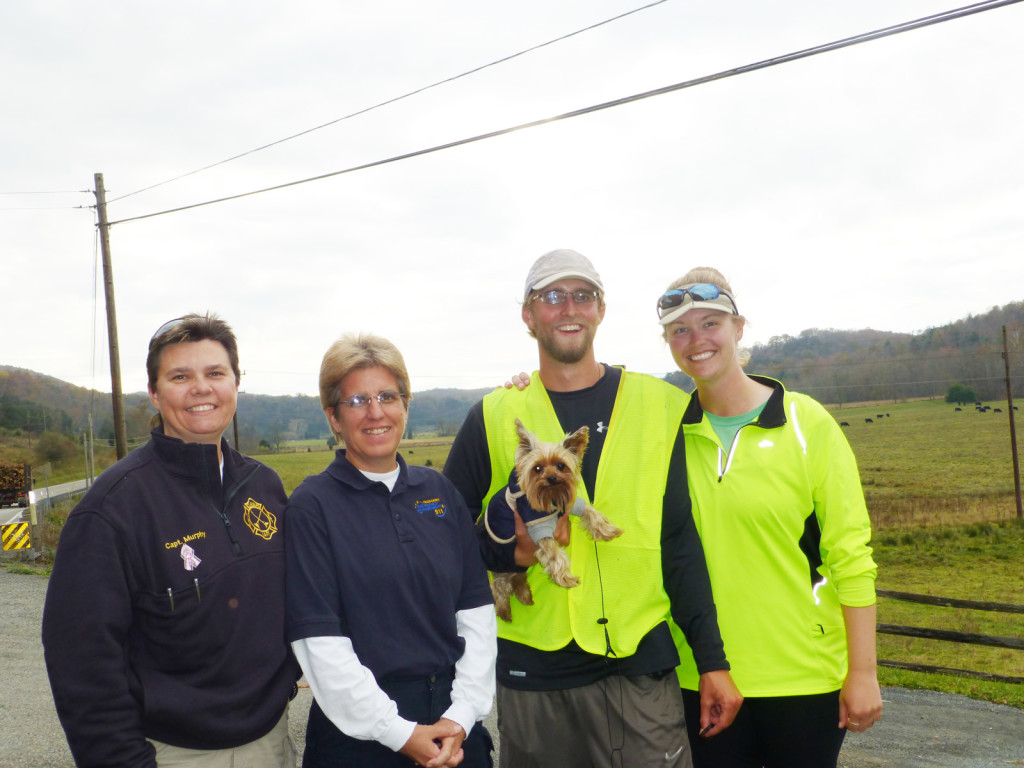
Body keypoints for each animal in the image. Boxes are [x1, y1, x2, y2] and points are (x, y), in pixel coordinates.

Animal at [481, 417, 618, 622]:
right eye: (537, 468)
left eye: (561, 465)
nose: (552, 477)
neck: (552, 495)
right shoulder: (538, 528)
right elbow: (555, 554)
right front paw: (567, 579)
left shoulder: (570, 503)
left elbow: (588, 510)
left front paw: (607, 530)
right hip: (503, 564)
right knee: (499, 587)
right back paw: (504, 611)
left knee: (516, 579)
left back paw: (525, 595)